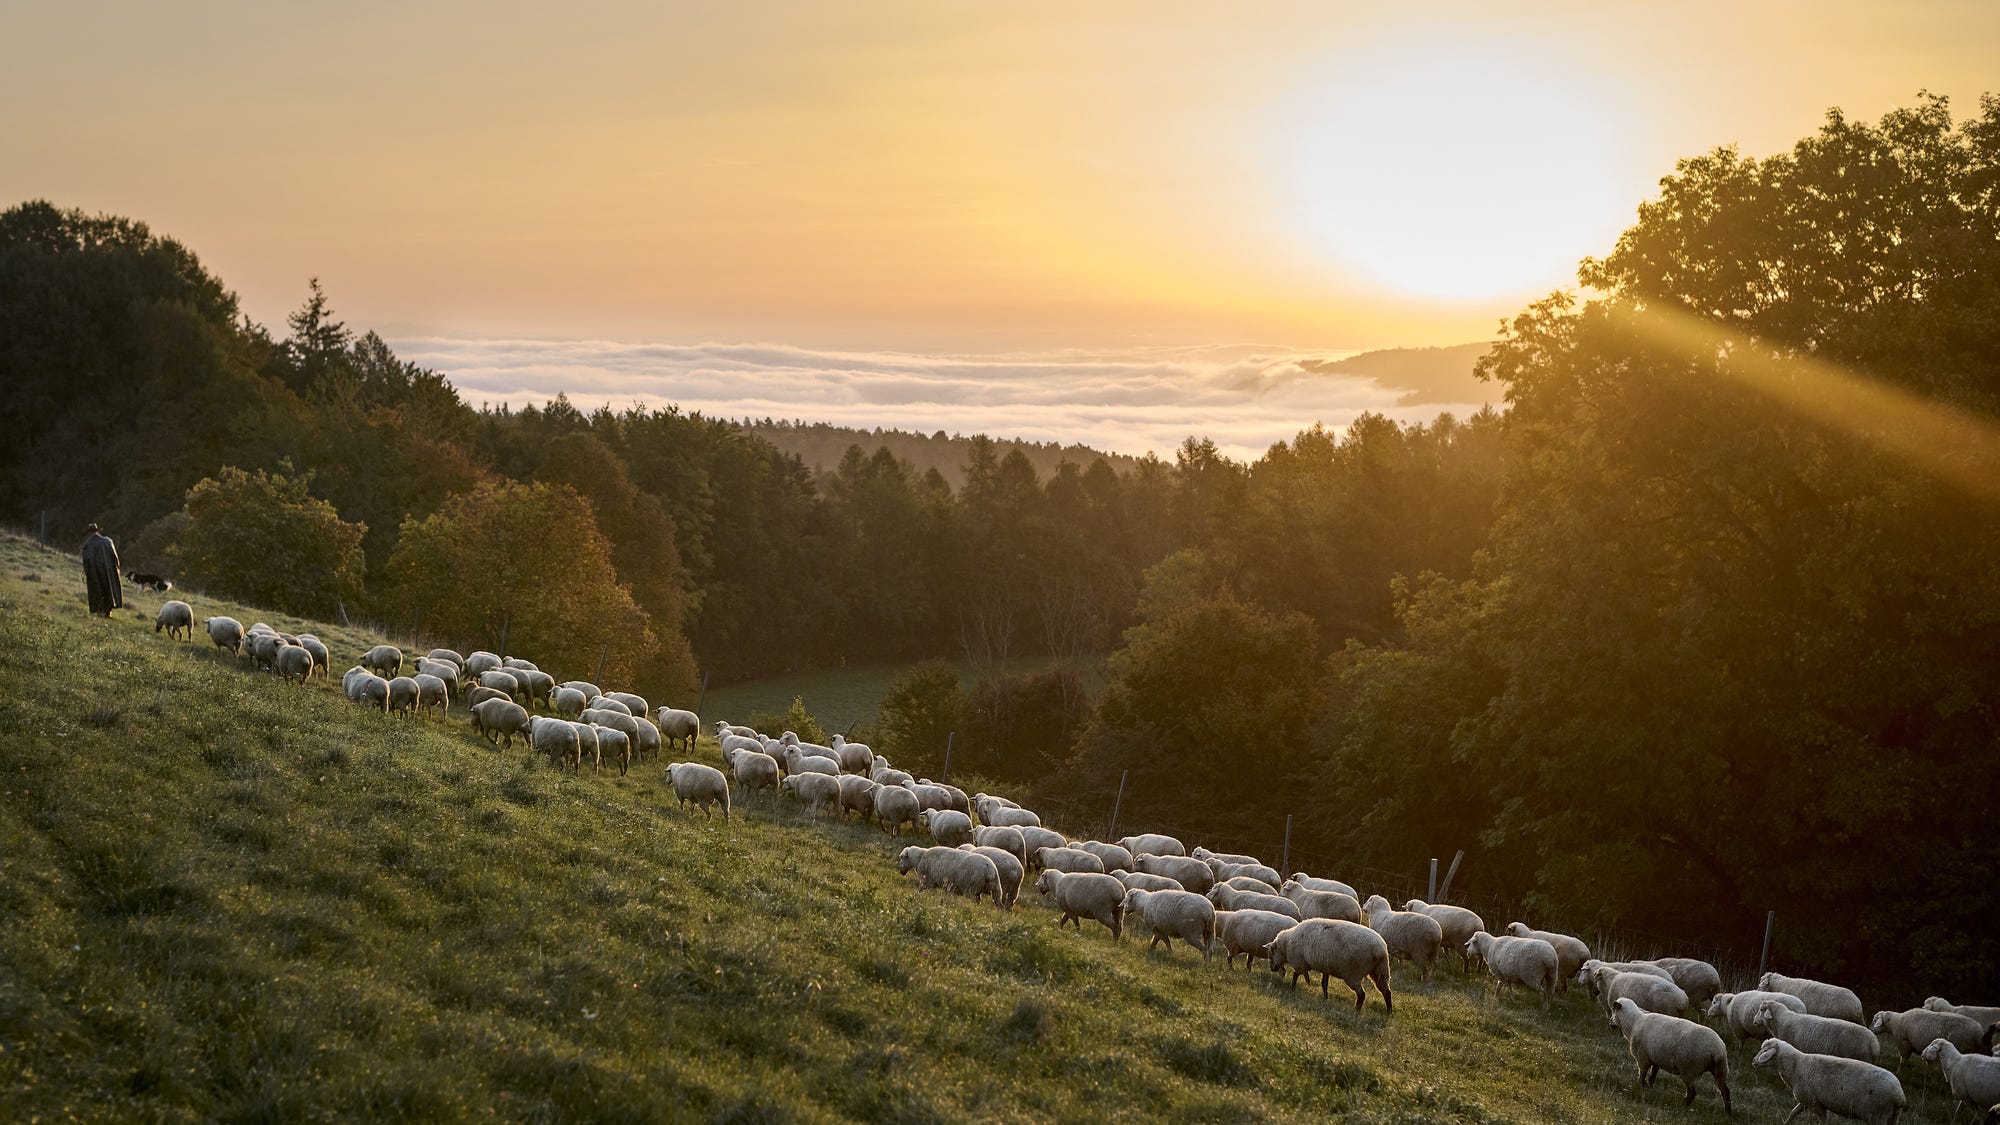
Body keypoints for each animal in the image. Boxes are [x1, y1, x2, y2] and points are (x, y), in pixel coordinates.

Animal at [1264, 916, 1392, 1012]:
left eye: (1272, 951)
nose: (1272, 968)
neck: (1286, 945)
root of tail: (1380, 949)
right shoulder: (1325, 968)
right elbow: (1324, 984)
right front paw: (1325, 998)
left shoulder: (1300, 962)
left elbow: (1296, 975)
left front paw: (1293, 988)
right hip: (1380, 971)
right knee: (1387, 992)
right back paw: (1389, 1012)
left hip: (1353, 973)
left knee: (1362, 995)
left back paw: (1356, 1012)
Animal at [1608, 992, 1736, 1104]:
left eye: (1613, 1009)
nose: (1610, 1023)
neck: (1633, 1023)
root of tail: (1717, 1050)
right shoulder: (1656, 1059)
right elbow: (1652, 1077)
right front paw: (1649, 1089)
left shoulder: (1642, 1058)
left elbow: (1642, 1076)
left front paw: (1640, 1088)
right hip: (1721, 1069)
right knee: (1725, 1092)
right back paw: (1728, 1113)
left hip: (1689, 1069)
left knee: (1692, 1093)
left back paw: (1682, 1106)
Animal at [1760, 1032, 1912, 1120]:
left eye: (1765, 1051)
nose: (1755, 1062)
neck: (1796, 1065)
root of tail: (1899, 1095)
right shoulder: (1807, 1100)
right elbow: (1793, 1113)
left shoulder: (1815, 1103)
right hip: (1892, 1116)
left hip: (1877, 1115)